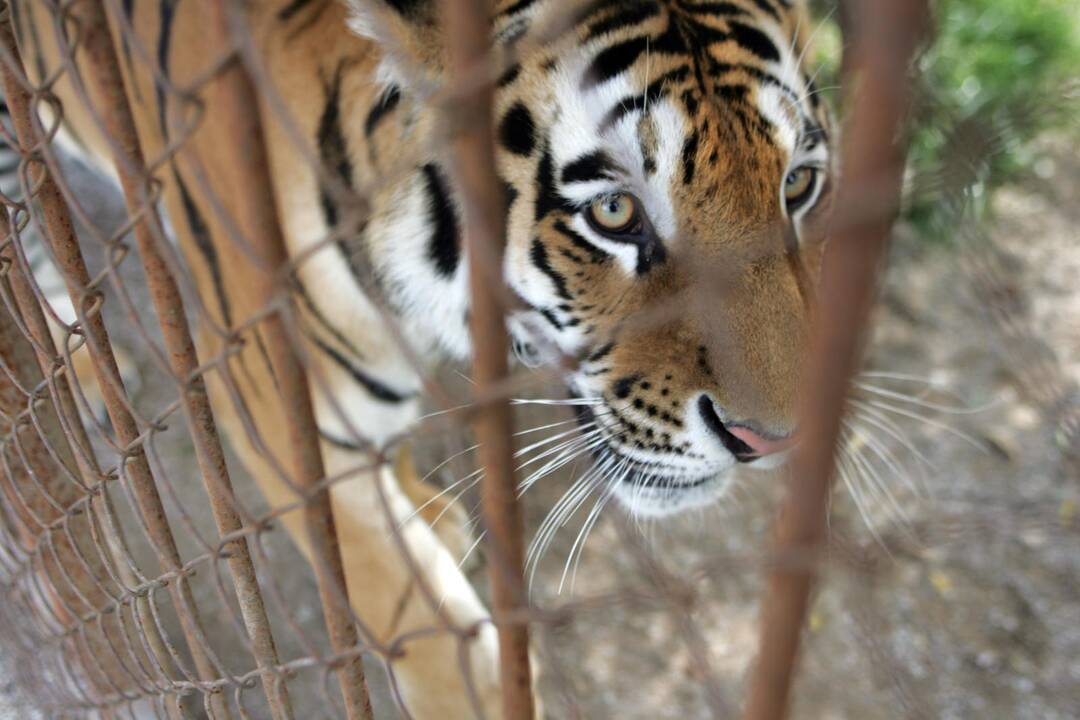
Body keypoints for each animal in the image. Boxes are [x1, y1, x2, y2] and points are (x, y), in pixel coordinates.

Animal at [6, 0, 833, 716]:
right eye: (613, 211)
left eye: (798, 184)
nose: (771, 441)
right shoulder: (283, 423)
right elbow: (412, 605)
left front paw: (427, 509)